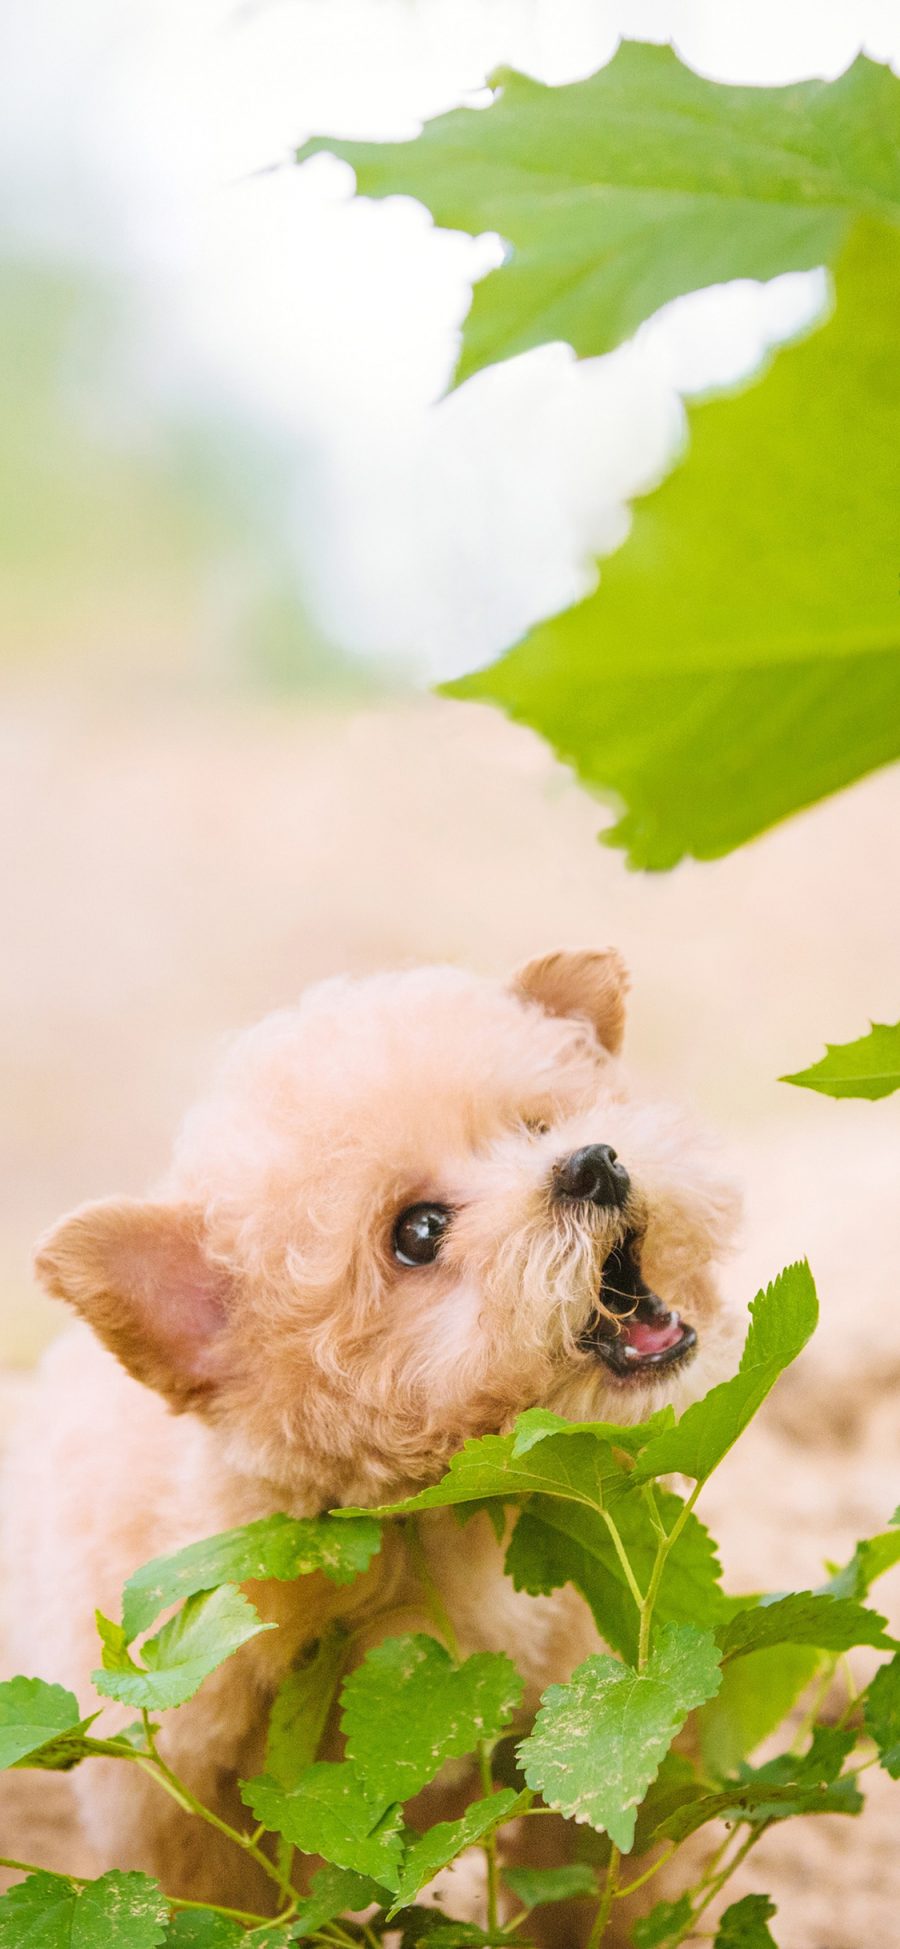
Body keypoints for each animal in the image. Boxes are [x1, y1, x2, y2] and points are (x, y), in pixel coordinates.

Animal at [0, 951, 736, 1910]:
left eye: (540, 1123)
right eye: (418, 1232)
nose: (593, 1163)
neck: (434, 1534)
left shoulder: (594, 1709)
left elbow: (604, 1852)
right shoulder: (182, 1796)